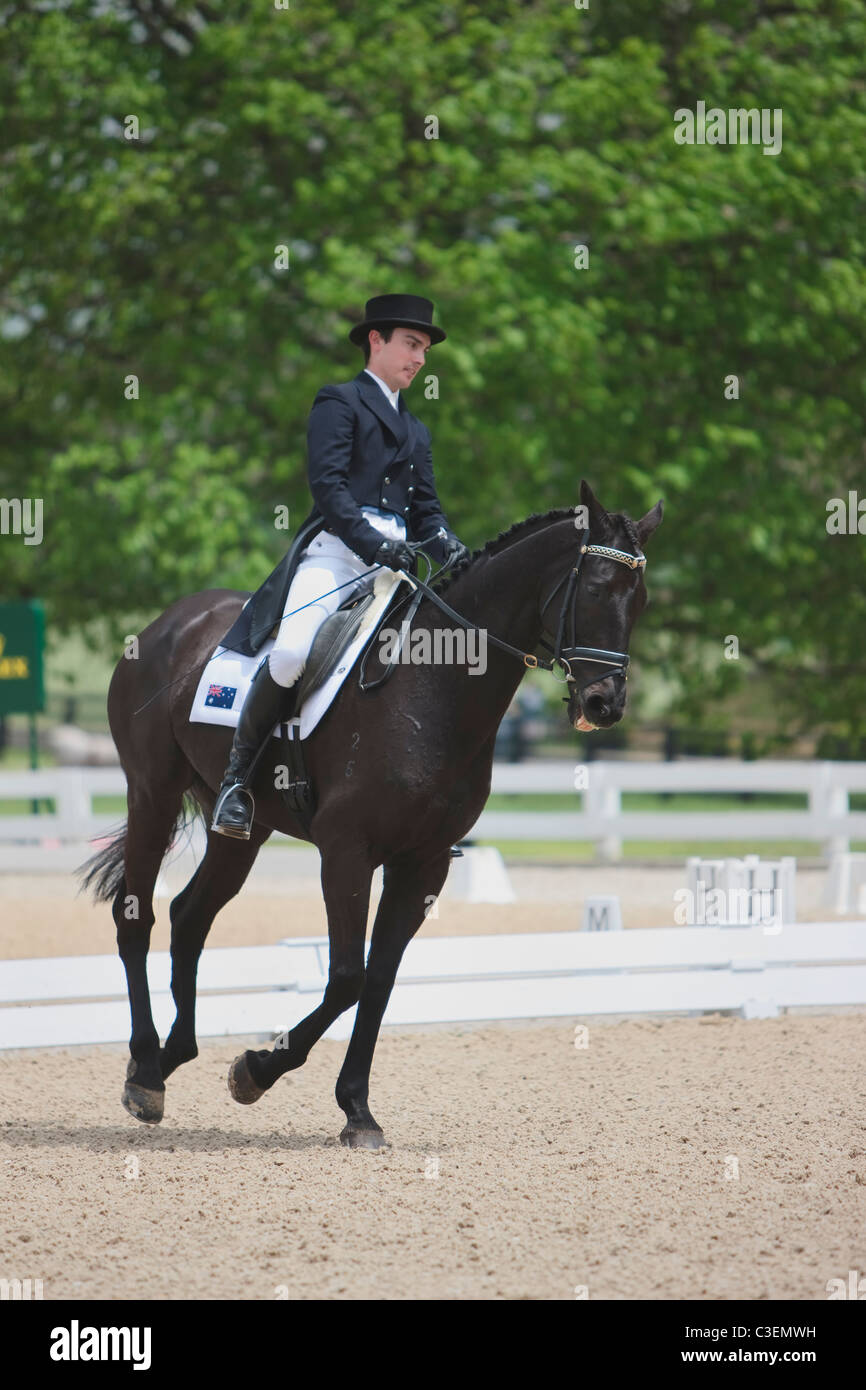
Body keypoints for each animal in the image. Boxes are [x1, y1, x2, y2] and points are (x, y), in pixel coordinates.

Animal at [81, 480, 664, 1150]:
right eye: (593, 588)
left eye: (641, 601)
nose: (604, 705)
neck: (434, 688)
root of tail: (168, 622)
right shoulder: (347, 851)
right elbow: (346, 977)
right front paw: (256, 1071)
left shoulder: (424, 863)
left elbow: (381, 980)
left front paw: (357, 1110)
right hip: (150, 792)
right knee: (137, 918)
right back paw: (145, 1074)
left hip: (244, 830)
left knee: (190, 916)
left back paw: (174, 1054)